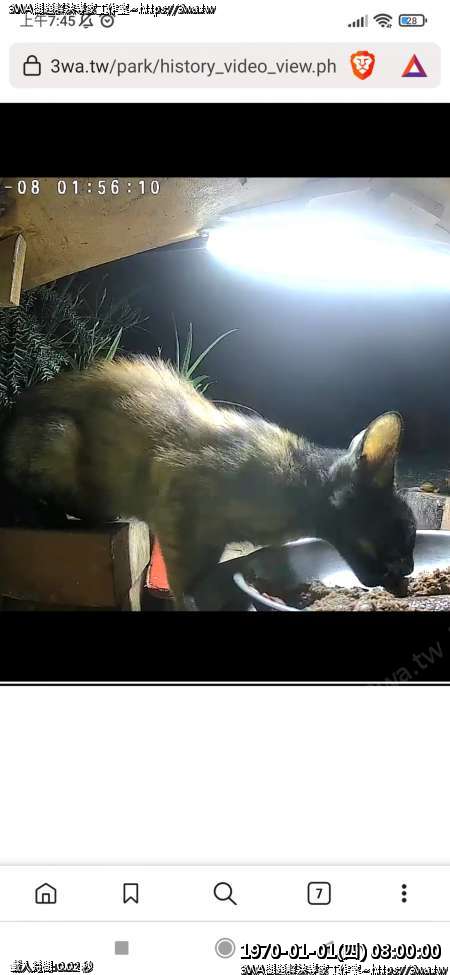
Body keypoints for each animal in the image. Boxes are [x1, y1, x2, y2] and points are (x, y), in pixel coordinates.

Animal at [0, 356, 416, 609]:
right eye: (406, 529)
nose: (411, 569)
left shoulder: (209, 544)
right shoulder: (175, 513)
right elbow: (183, 590)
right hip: (59, 437)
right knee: (22, 495)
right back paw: (51, 516)